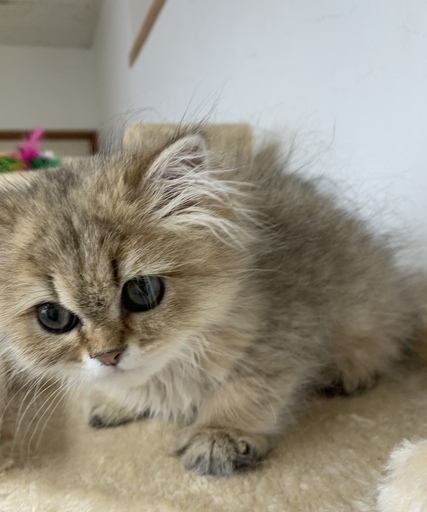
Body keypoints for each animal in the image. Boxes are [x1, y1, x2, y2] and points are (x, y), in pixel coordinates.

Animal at [0, 129, 422, 476]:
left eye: (142, 292)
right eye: (53, 316)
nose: (108, 356)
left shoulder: (286, 327)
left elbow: (248, 390)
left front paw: (219, 435)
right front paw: (120, 402)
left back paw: (350, 373)